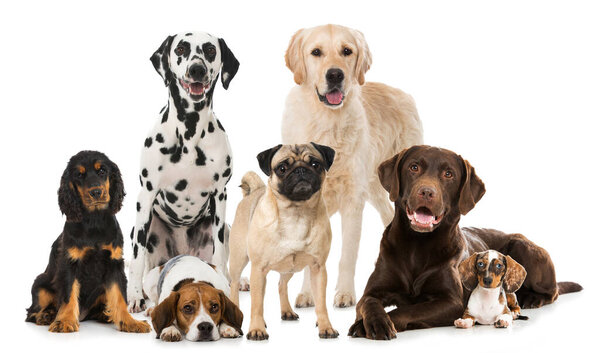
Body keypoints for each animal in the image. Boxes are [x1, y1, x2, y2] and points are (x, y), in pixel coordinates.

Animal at [26, 151, 150, 332]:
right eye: (79, 175)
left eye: (102, 171)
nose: (96, 192)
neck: (94, 221)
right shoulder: (70, 263)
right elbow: (68, 294)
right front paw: (65, 321)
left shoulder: (114, 263)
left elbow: (119, 296)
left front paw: (130, 322)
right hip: (40, 285)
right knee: (31, 312)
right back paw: (46, 316)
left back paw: (105, 314)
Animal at [227, 142, 338, 338]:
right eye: (282, 168)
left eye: (315, 164)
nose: (301, 170)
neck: (296, 212)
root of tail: (254, 191)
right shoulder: (258, 269)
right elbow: (256, 304)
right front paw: (256, 329)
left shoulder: (318, 268)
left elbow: (321, 303)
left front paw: (325, 326)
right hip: (239, 260)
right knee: (235, 286)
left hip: (290, 268)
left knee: (281, 284)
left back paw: (287, 311)